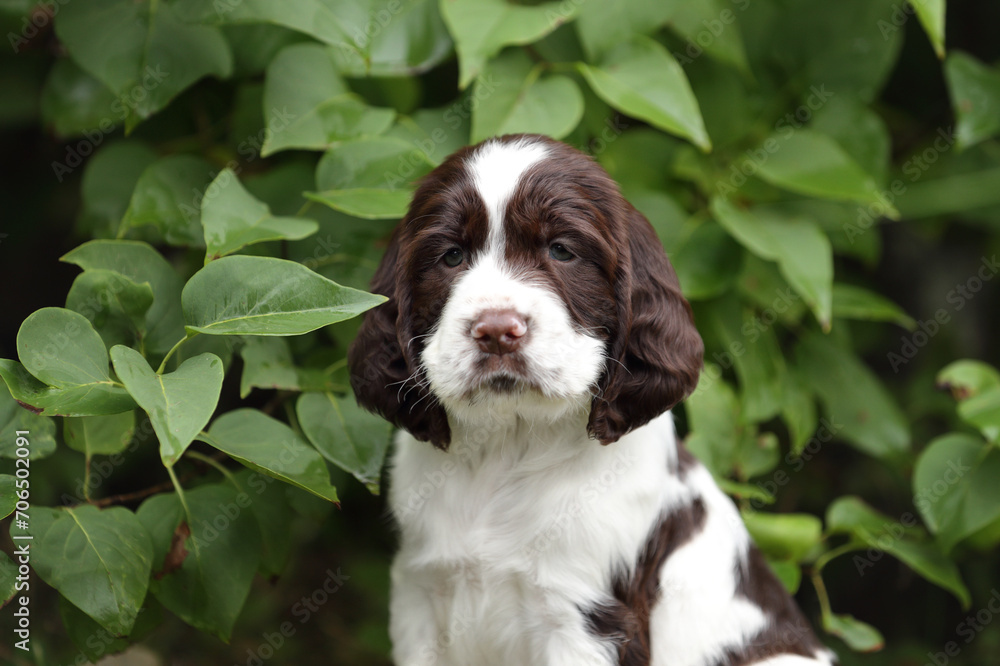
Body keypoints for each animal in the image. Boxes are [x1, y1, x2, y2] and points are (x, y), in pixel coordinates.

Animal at [348, 135, 832, 664]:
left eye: (562, 250)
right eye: (451, 256)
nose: (496, 331)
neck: (508, 447)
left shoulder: (589, 620)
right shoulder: (419, 594)